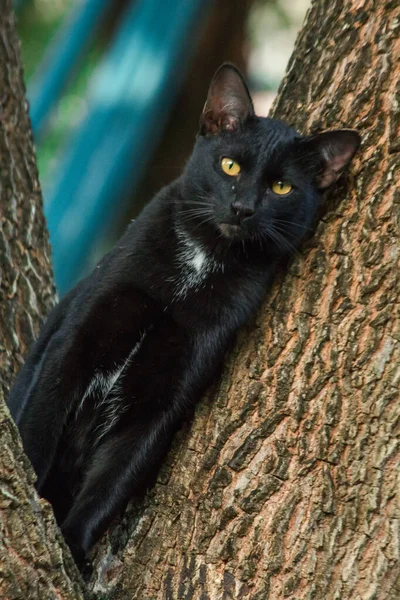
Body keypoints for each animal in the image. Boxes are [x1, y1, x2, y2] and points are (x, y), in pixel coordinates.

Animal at [7, 63, 360, 564]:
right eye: (230, 165)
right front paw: (36, 508)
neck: (201, 261)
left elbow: (112, 481)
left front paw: (72, 549)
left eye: (281, 187)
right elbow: (39, 425)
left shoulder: (165, 398)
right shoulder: (74, 342)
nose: (242, 207)